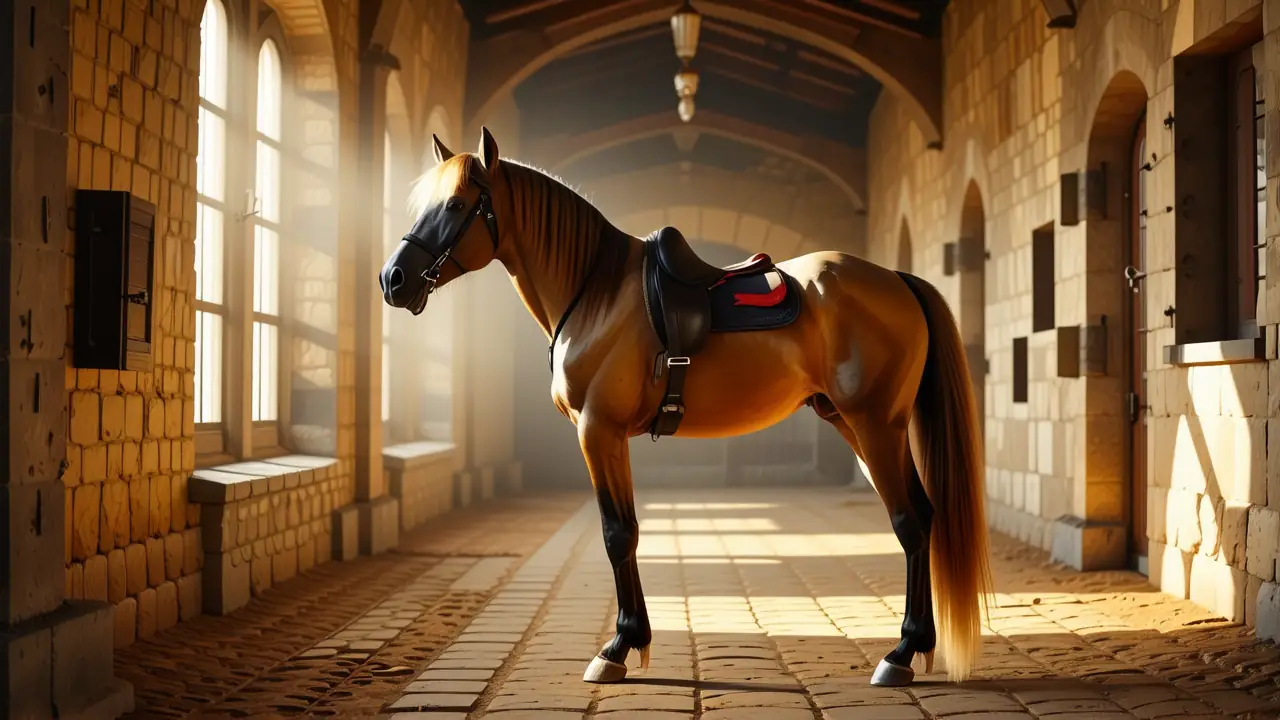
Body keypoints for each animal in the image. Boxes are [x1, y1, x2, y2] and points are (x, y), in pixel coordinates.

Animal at [379, 127, 993, 688]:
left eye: (457, 204)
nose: (393, 278)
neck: (596, 291)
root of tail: (897, 281)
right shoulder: (606, 436)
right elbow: (625, 530)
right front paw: (632, 640)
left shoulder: (598, 431)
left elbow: (618, 533)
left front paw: (618, 648)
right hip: (853, 423)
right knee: (924, 515)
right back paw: (918, 646)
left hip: (876, 425)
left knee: (909, 521)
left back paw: (901, 654)